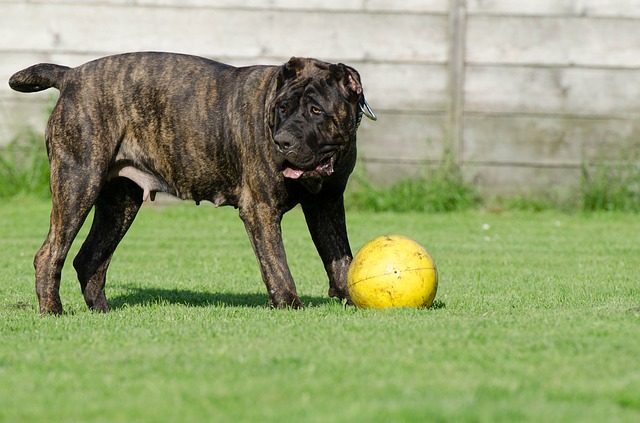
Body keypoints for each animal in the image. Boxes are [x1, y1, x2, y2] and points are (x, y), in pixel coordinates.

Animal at [8, 52, 376, 314]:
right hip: (78, 184)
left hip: (119, 203)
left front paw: (351, 298)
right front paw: (289, 304)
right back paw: (52, 310)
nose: (282, 141)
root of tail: (70, 75)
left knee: (90, 257)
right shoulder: (260, 208)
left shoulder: (327, 204)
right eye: (282, 108)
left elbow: (339, 256)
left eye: (316, 110)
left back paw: (102, 311)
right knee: (50, 253)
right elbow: (277, 263)